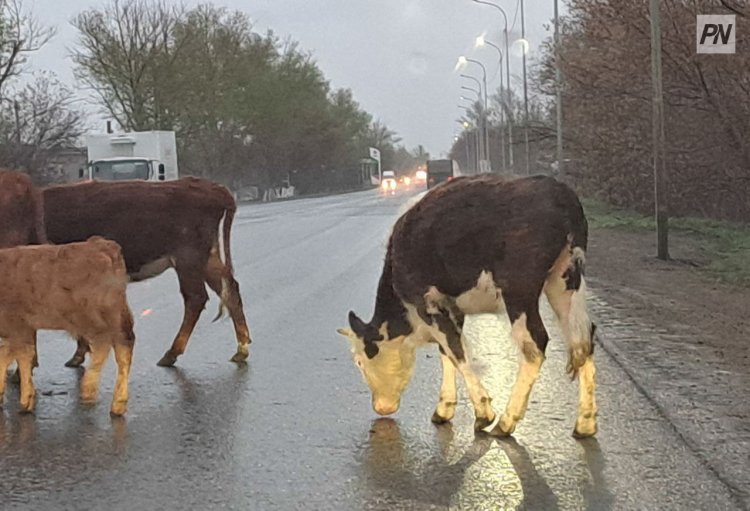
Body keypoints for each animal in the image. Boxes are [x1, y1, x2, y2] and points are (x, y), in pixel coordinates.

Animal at [0, 236, 134, 416]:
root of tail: (103, 245)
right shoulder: (22, 329)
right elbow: (23, 355)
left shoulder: (17, 326)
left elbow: (11, 355)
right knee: (105, 346)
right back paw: (90, 389)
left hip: (101, 316)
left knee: (121, 346)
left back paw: (115, 402)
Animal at [42, 177, 254, 368]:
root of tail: (214, 188)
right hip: (207, 258)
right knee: (229, 288)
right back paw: (241, 349)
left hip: (188, 258)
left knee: (196, 298)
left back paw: (171, 353)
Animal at [340, 177, 600, 440]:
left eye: (359, 361)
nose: (380, 407)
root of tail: (560, 192)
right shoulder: (452, 307)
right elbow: (446, 352)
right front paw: (444, 409)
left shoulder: (427, 304)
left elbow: (456, 350)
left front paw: (484, 413)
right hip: (565, 279)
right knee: (583, 339)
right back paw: (585, 423)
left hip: (519, 289)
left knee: (534, 344)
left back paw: (506, 422)